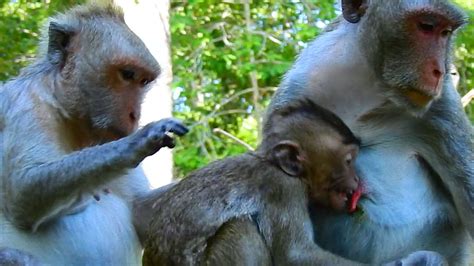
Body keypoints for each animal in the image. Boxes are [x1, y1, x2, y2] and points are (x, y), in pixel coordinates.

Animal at [0, 2, 189, 264]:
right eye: (127, 74)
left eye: (143, 81)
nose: (135, 115)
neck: (74, 119)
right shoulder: (26, 102)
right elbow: (23, 192)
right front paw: (139, 141)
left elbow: (143, 212)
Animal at [141, 99, 444, 266]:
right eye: (348, 161)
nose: (357, 177)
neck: (275, 164)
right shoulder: (283, 189)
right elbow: (296, 255)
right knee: (242, 229)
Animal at [200, 0, 474, 264]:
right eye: (426, 26)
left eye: (445, 33)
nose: (440, 71)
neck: (372, 86)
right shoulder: (297, 88)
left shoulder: (441, 106)